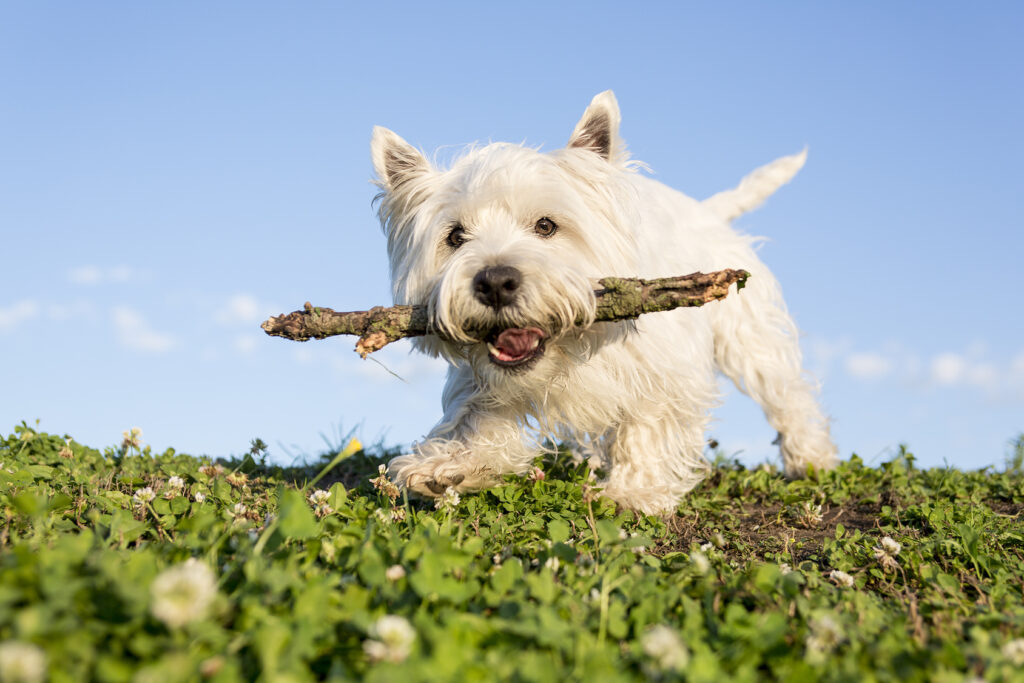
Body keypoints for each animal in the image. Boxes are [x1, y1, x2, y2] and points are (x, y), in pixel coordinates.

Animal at [372, 90, 835, 511]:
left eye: (546, 225)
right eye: (455, 236)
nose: (496, 282)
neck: (568, 352)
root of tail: (707, 211)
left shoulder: (663, 370)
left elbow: (646, 423)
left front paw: (634, 492)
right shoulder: (482, 379)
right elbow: (475, 414)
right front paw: (449, 466)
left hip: (750, 336)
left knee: (786, 393)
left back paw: (811, 458)